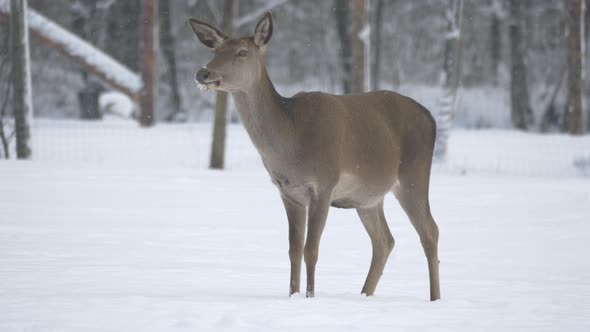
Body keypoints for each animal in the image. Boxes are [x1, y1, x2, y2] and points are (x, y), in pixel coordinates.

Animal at [188, 12, 440, 300]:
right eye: (214, 51)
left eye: (242, 52)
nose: (203, 72)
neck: (290, 143)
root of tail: (431, 118)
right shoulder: (288, 192)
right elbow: (294, 250)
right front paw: (293, 295)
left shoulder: (323, 185)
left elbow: (311, 250)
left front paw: (310, 297)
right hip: (367, 196)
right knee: (384, 240)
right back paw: (365, 294)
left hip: (414, 175)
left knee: (430, 231)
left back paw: (434, 298)